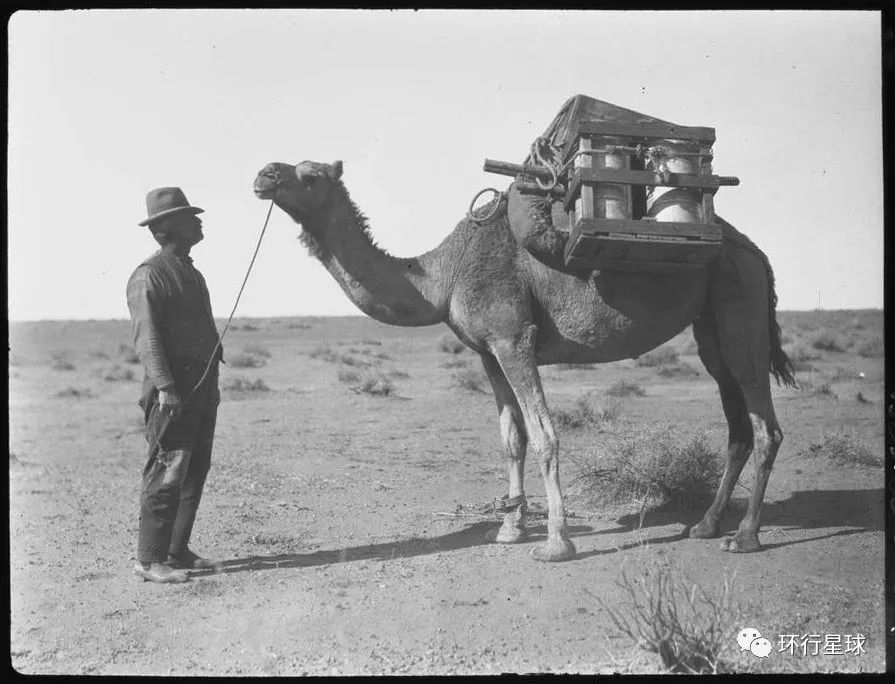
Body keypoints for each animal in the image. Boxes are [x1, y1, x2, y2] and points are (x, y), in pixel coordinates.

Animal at [254, 159, 800, 560]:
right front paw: (510, 530)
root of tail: (757, 252)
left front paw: (557, 542)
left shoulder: (514, 338)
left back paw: (745, 536)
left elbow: (544, 435)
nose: (264, 174)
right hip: (711, 327)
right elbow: (511, 438)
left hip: (740, 307)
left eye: (311, 175)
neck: (442, 276)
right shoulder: (487, 351)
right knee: (737, 425)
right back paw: (706, 526)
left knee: (766, 426)